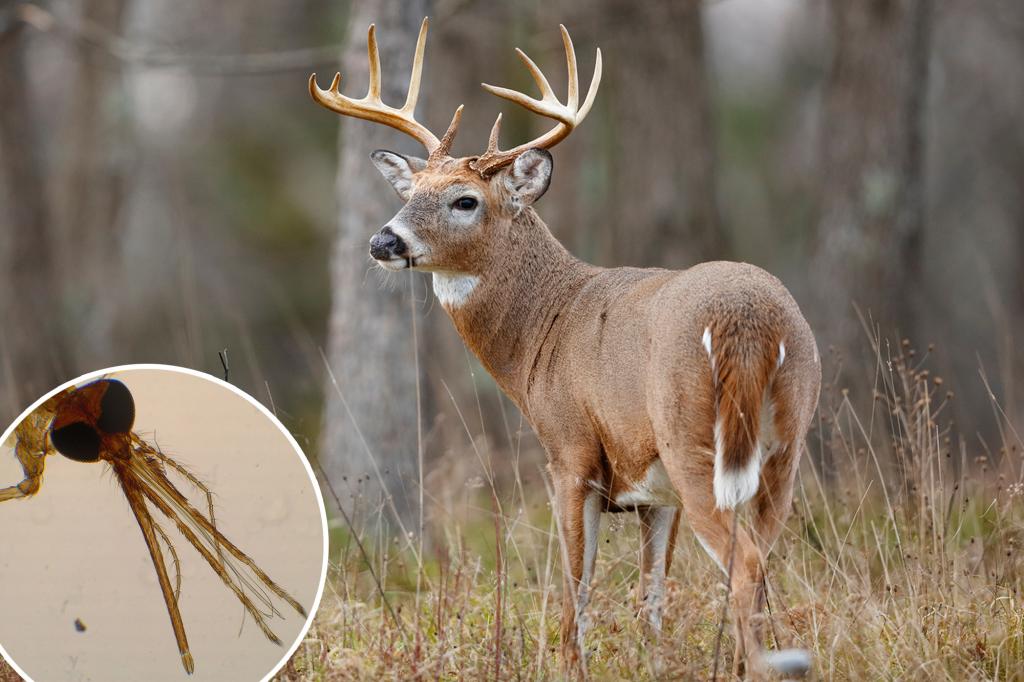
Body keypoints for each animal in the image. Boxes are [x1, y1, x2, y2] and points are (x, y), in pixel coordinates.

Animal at [310, 18, 821, 679]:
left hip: (693, 438)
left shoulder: (570, 450)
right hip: (785, 444)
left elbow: (575, 584)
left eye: (465, 200)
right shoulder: (653, 491)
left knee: (746, 565)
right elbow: (651, 596)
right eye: (411, 190)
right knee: (762, 558)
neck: (543, 332)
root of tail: (749, 320)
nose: (382, 241)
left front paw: (568, 662)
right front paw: (650, 662)